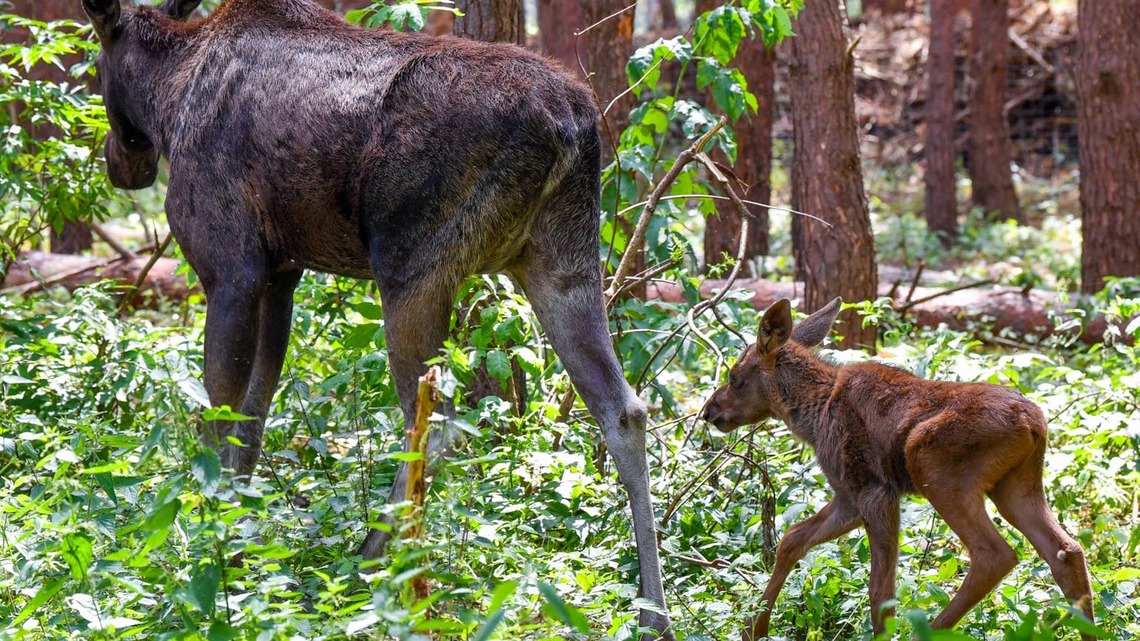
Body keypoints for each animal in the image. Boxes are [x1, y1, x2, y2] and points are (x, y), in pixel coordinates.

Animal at [80, 0, 672, 637]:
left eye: (97, 66)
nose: (121, 165)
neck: (169, 97)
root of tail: (572, 125)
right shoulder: (282, 272)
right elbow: (254, 421)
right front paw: (243, 551)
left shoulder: (231, 268)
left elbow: (218, 417)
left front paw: (214, 557)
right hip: (560, 260)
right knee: (624, 410)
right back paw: (653, 612)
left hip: (412, 267)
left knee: (437, 418)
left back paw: (370, 567)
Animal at [701, 298, 1094, 640]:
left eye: (735, 376)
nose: (709, 410)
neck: (812, 414)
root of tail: (1033, 424)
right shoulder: (848, 496)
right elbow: (792, 538)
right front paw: (754, 628)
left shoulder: (875, 491)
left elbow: (880, 593)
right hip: (1016, 485)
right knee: (1067, 551)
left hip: (936, 470)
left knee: (995, 555)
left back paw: (930, 631)